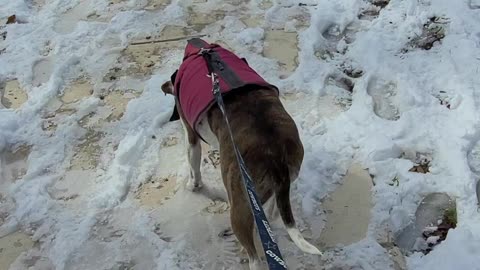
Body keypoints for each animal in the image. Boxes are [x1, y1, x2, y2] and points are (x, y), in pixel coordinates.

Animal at [161, 39, 322, 268]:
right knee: (273, 213)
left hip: (239, 204)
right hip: (286, 176)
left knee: (254, 256)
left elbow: (194, 165)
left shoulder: (190, 135)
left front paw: (193, 185)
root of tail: (274, 155)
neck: (200, 50)